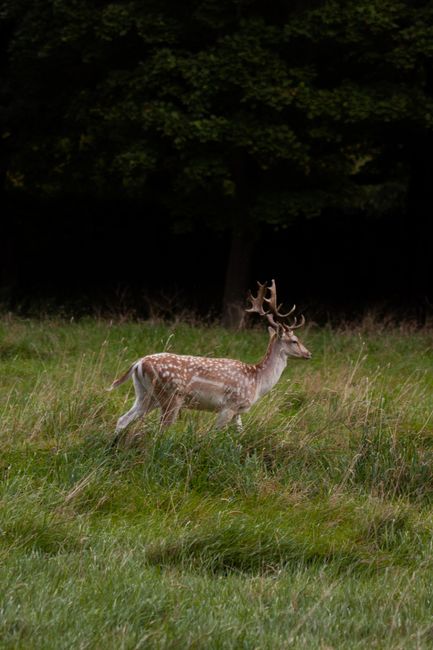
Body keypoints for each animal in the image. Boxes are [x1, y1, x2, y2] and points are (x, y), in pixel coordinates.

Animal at [108, 280, 311, 446]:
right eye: (294, 340)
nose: (308, 353)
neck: (257, 381)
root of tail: (138, 363)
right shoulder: (229, 405)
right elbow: (213, 434)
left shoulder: (238, 410)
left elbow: (239, 433)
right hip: (170, 396)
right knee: (159, 430)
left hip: (145, 395)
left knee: (122, 419)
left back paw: (113, 446)